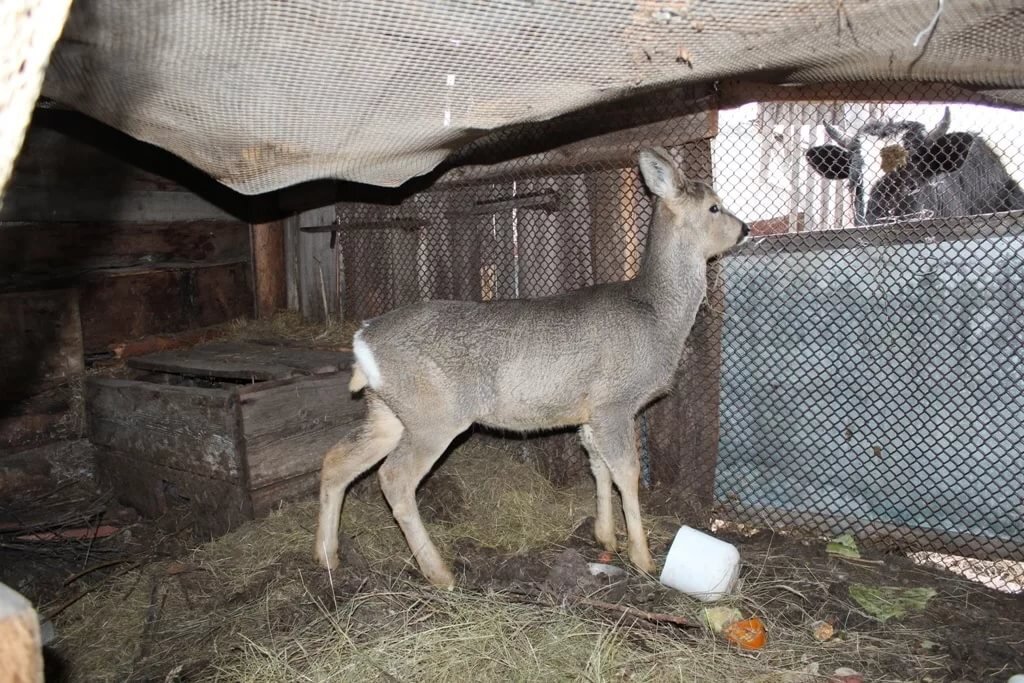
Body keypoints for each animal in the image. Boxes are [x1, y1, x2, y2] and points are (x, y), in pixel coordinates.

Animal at [311, 148, 745, 589]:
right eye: (714, 206)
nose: (744, 228)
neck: (656, 315)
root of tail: (363, 339)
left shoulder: (589, 410)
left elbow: (598, 466)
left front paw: (605, 537)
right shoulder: (615, 401)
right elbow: (627, 472)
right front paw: (643, 557)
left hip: (390, 410)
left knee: (337, 460)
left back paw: (327, 556)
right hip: (435, 412)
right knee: (395, 478)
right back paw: (440, 573)